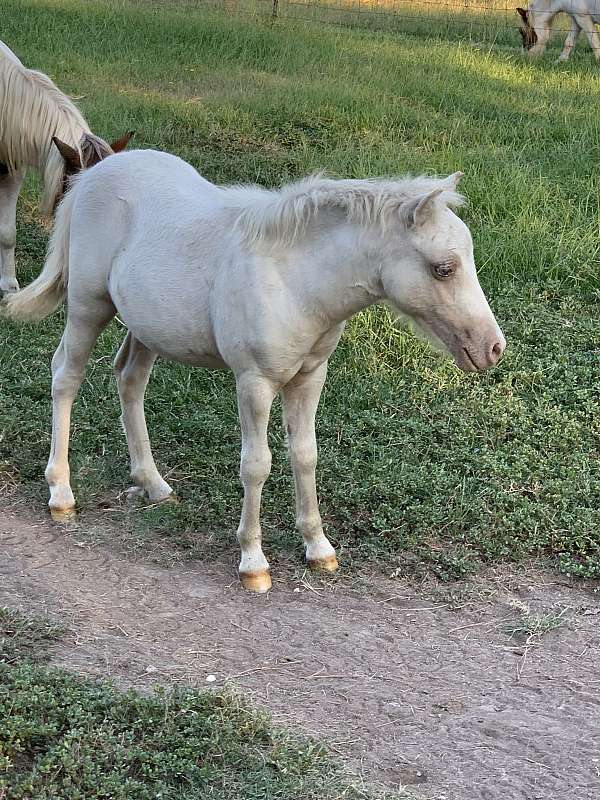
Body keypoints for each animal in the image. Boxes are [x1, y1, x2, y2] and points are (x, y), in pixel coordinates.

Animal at [3, 150, 506, 592]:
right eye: (444, 268)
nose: (493, 347)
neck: (296, 281)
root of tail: (93, 175)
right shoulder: (255, 382)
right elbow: (256, 465)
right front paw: (253, 562)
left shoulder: (310, 377)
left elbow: (305, 454)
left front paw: (319, 548)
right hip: (87, 306)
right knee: (66, 376)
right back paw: (61, 494)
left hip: (147, 327)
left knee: (129, 379)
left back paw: (152, 483)